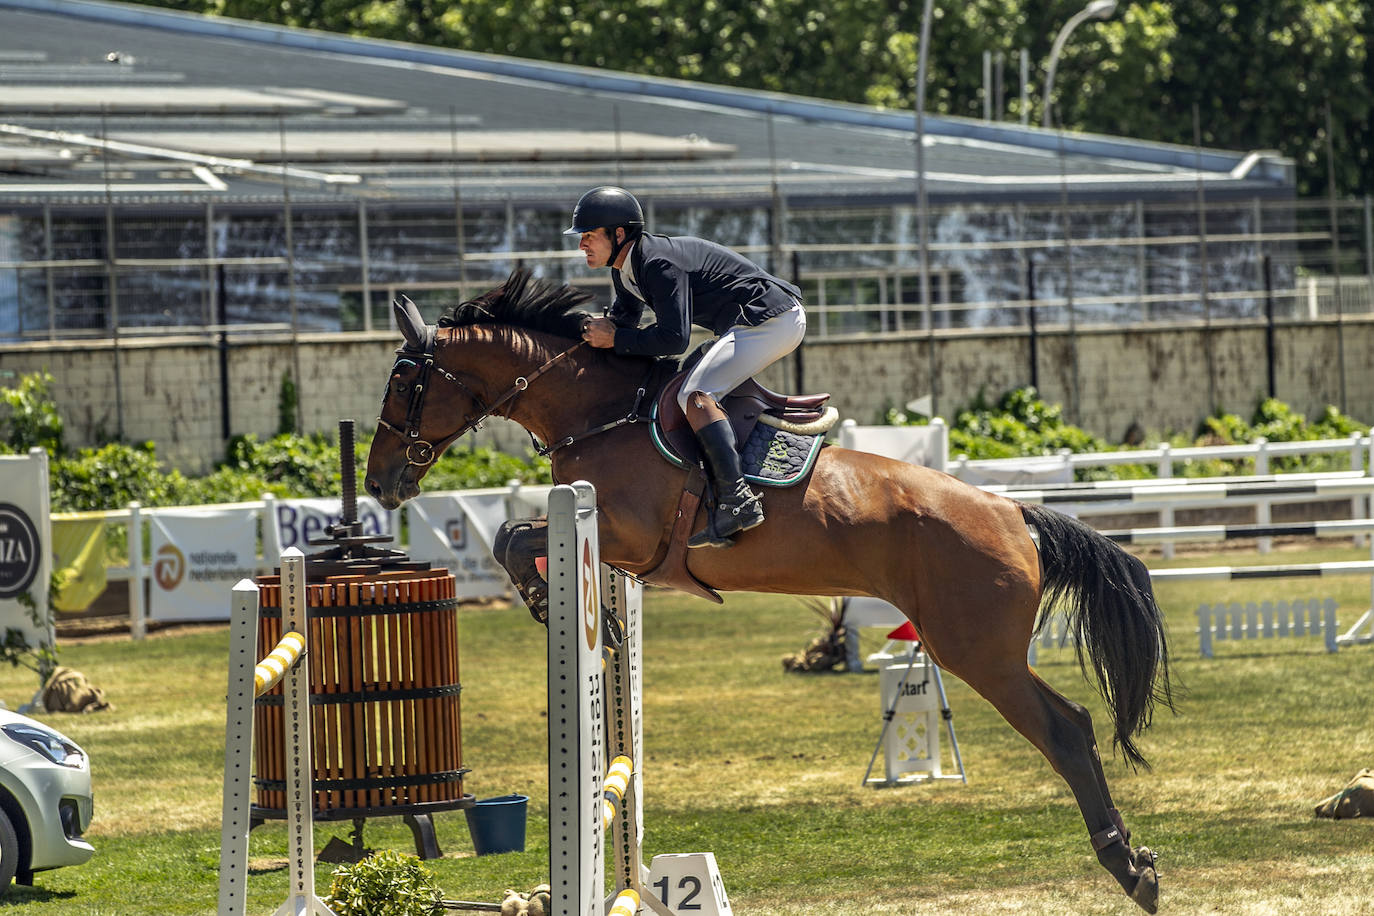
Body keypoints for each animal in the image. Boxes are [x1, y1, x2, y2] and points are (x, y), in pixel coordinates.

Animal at [368, 269, 1181, 911]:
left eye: (405, 382)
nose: (380, 484)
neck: (599, 413)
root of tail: (1012, 512)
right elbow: (513, 538)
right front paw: (595, 616)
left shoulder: (627, 536)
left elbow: (513, 537)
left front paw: (550, 605)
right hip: (982, 648)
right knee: (1075, 724)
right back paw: (1133, 863)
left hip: (976, 650)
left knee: (1066, 730)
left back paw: (1128, 868)